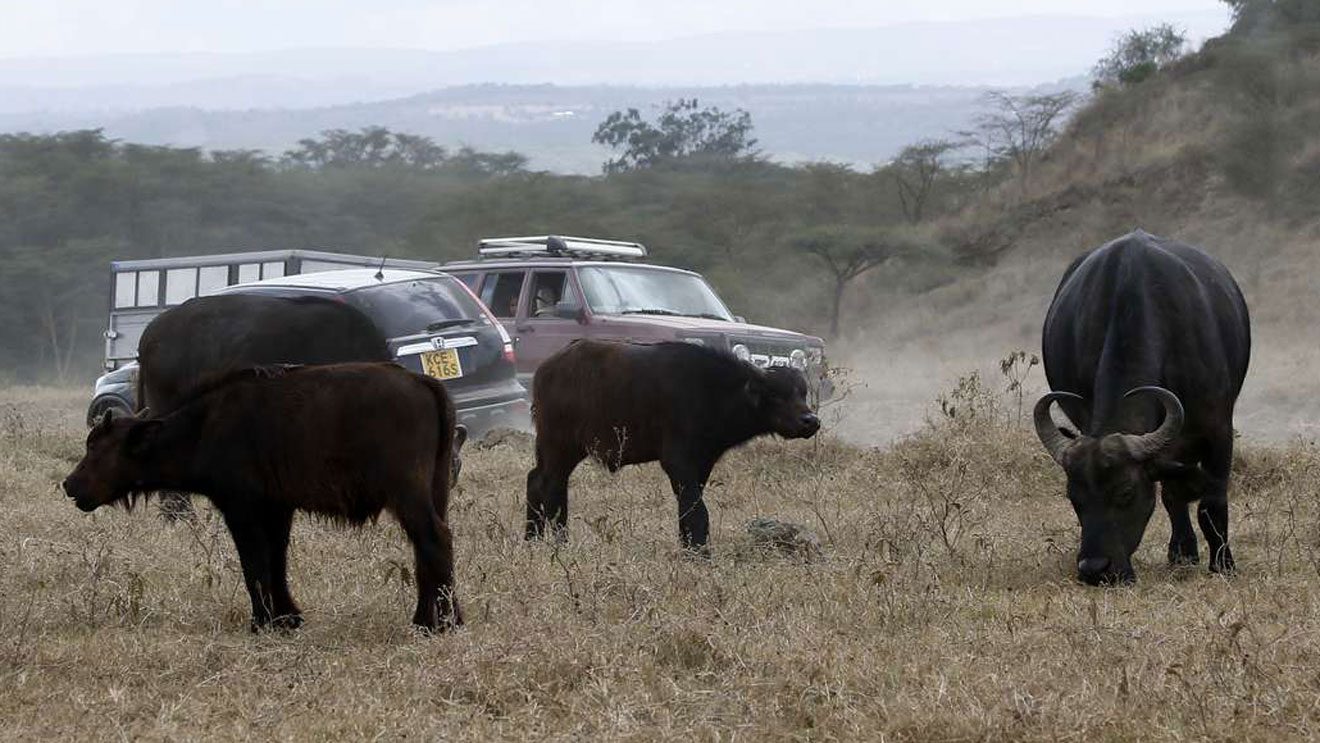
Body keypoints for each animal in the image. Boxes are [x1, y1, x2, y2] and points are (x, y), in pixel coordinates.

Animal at [64, 364, 462, 633]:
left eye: (96, 448)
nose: (70, 485)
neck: (204, 427)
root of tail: (423, 382)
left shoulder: (242, 509)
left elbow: (254, 564)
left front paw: (262, 621)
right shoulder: (278, 510)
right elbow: (277, 561)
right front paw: (287, 617)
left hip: (408, 496)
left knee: (433, 540)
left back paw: (432, 623)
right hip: (435, 492)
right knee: (433, 547)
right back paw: (448, 617)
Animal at [522, 340, 813, 551]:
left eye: (802, 392)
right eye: (776, 394)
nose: (811, 420)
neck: (713, 391)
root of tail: (547, 370)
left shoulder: (702, 464)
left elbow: (688, 508)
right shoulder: (678, 461)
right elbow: (697, 511)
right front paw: (700, 552)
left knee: (539, 481)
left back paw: (532, 540)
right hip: (558, 445)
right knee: (550, 486)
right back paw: (557, 542)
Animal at [1040, 232, 1246, 588]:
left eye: (1126, 492)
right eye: (1073, 498)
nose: (1094, 569)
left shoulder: (1218, 429)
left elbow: (1211, 504)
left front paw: (1223, 564)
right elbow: (1173, 495)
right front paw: (1185, 554)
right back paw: (1182, 553)